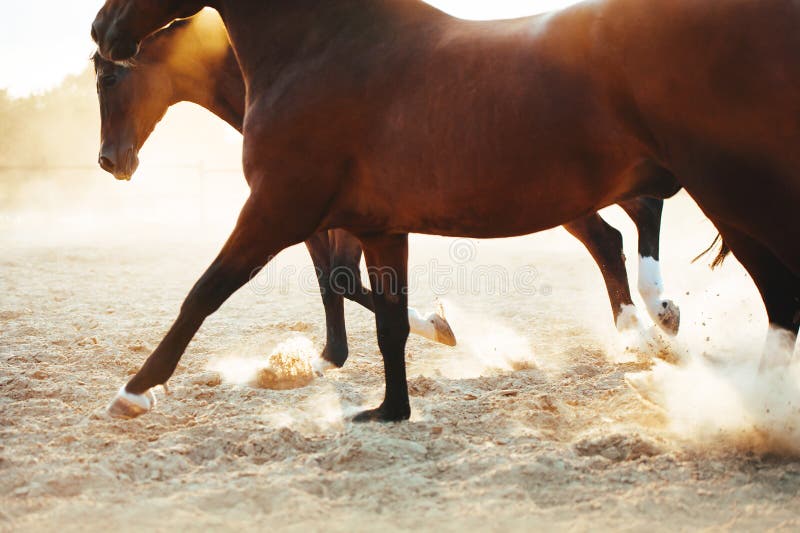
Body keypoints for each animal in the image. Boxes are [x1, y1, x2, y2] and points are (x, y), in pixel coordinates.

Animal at [95, 1, 800, 424]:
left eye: (108, 78)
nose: (103, 27)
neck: (324, 50)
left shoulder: (280, 211)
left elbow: (209, 291)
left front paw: (135, 390)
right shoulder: (372, 224)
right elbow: (375, 310)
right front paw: (387, 401)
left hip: (732, 190)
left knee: (720, 265)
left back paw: (687, 346)